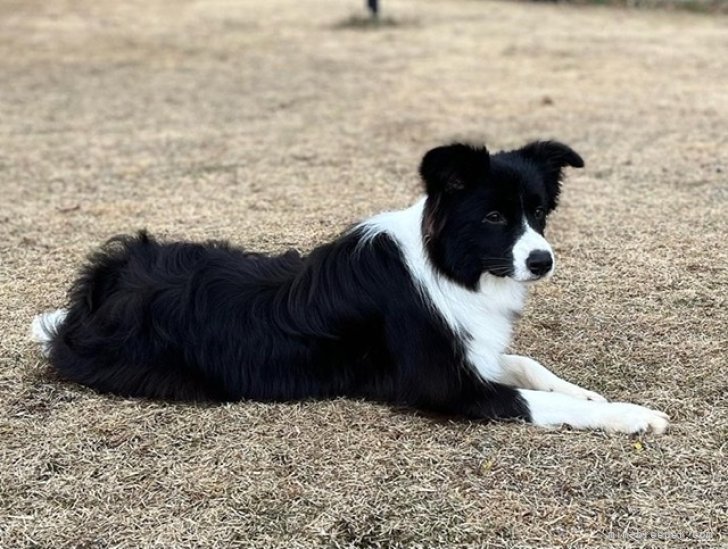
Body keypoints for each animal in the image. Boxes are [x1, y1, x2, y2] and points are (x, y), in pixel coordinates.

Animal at [32, 140, 672, 432]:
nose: (542, 260)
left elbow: (529, 365)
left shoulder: (472, 349)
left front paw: (589, 393)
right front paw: (632, 415)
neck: (446, 263)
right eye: (493, 217)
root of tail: (104, 281)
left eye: (538, 212)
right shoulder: (445, 384)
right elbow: (536, 399)